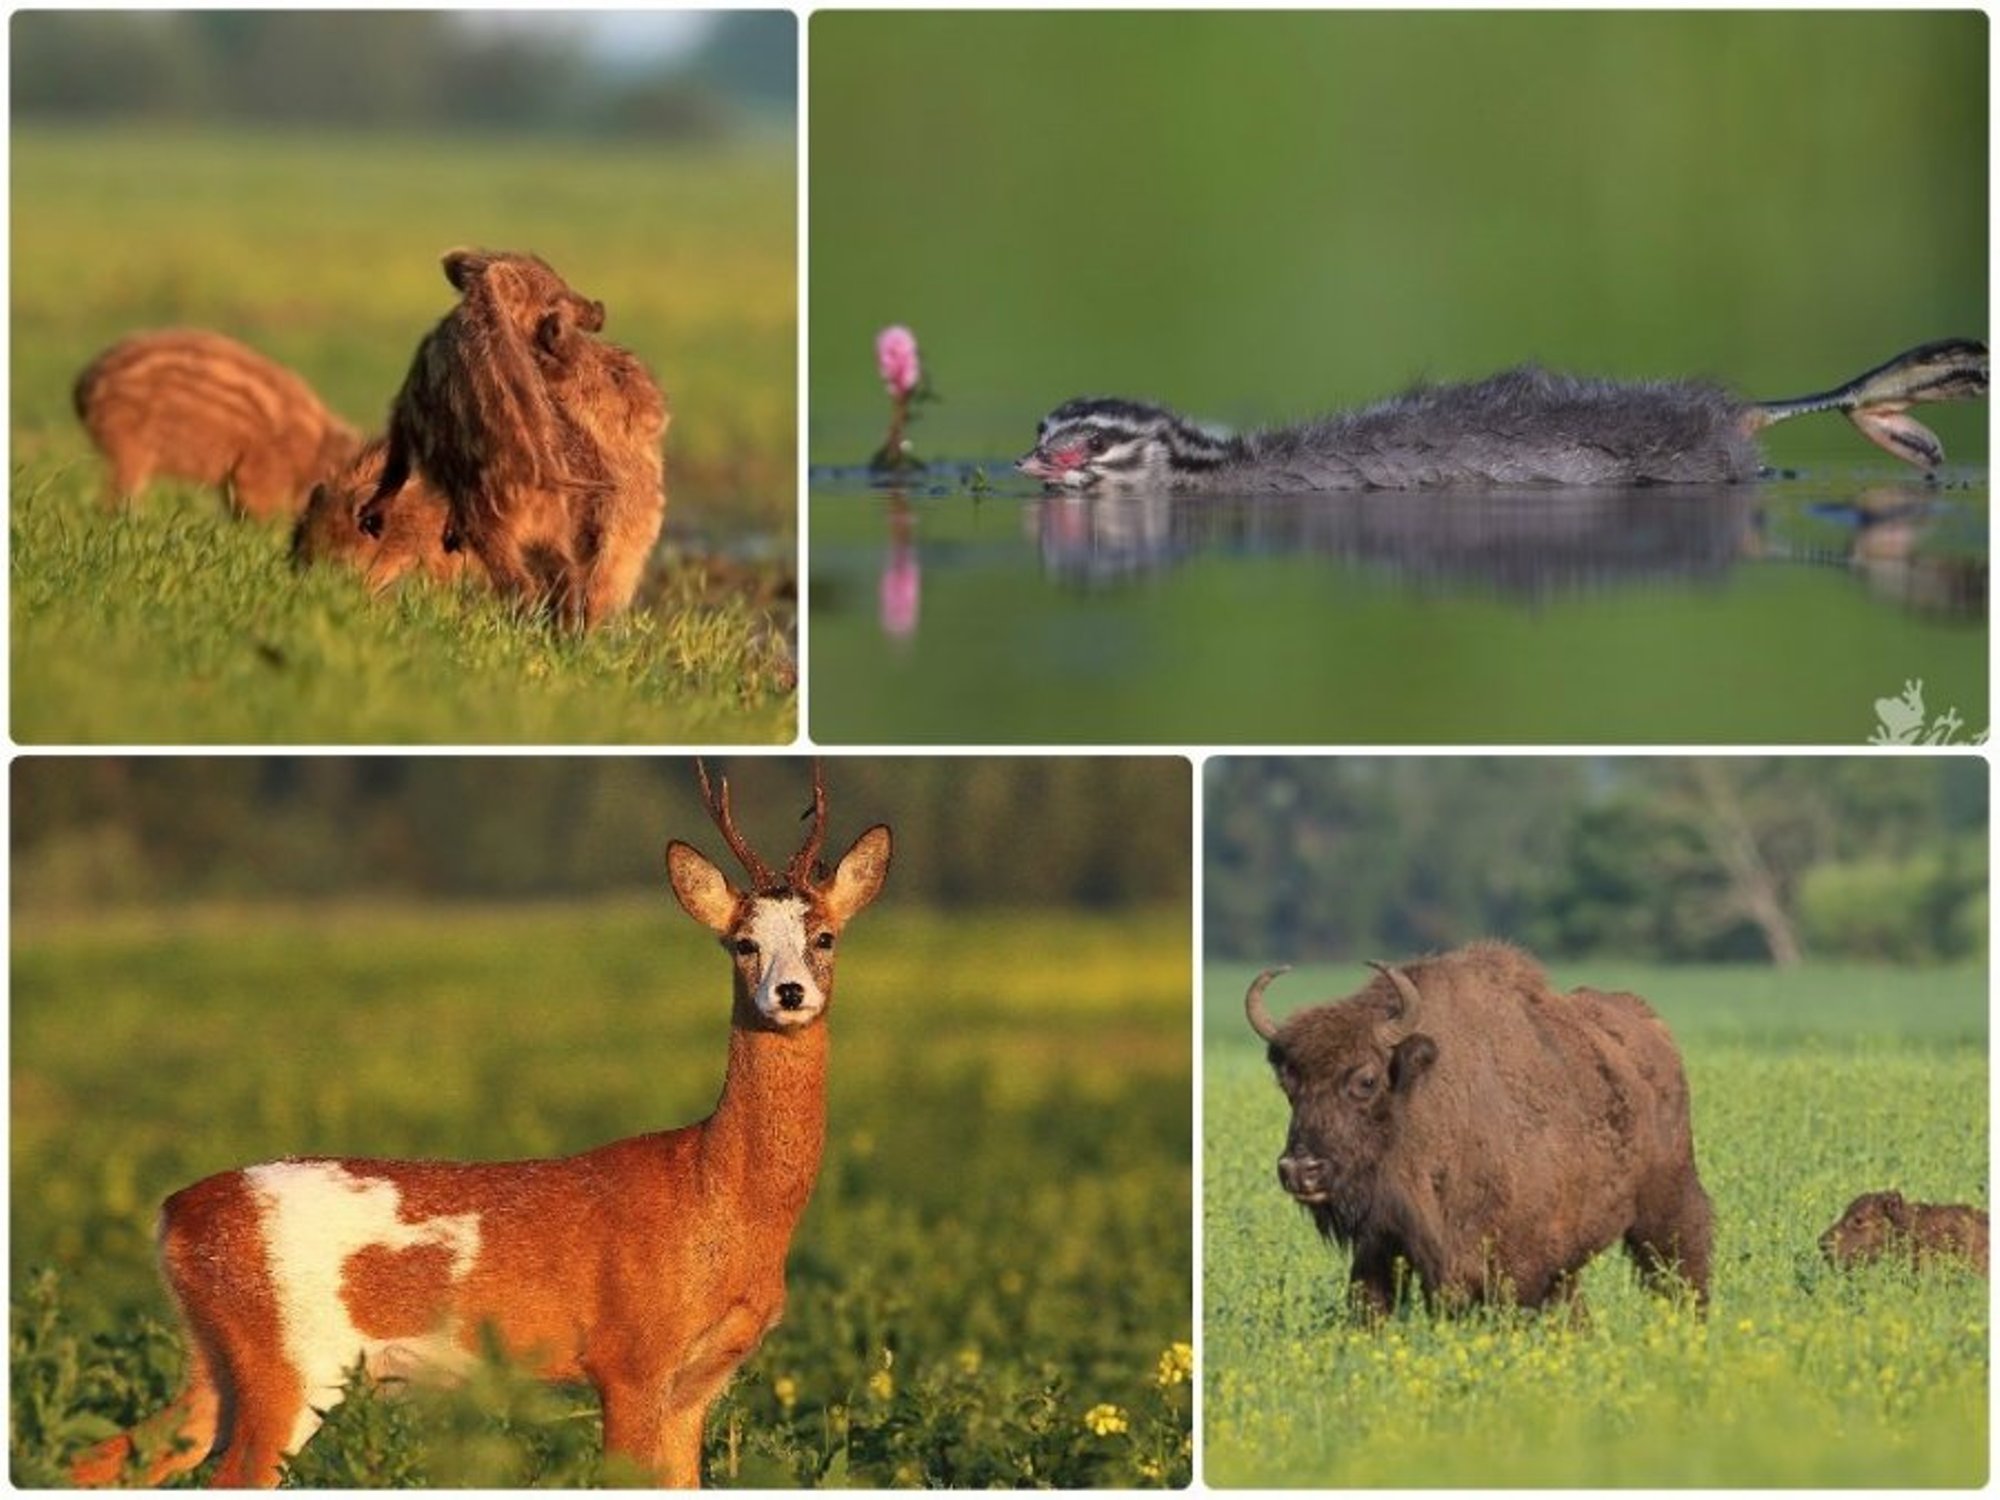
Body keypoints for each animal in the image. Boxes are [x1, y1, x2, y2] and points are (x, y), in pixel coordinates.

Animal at [1248, 944, 1704, 1320]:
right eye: (1289, 1083)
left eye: (1366, 1080)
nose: (1300, 1170)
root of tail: (1653, 1028)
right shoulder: (1380, 1250)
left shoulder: (1512, 1266)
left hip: (1668, 1209)